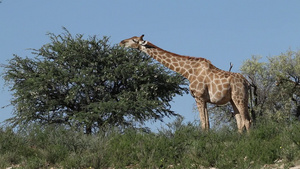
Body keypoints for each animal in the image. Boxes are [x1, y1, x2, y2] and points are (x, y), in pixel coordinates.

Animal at [119, 34, 251, 132]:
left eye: (134, 40)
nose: (121, 42)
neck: (188, 72)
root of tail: (247, 83)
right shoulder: (204, 99)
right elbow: (207, 124)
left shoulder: (198, 97)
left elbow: (203, 124)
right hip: (233, 100)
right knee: (240, 122)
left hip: (240, 98)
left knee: (247, 121)